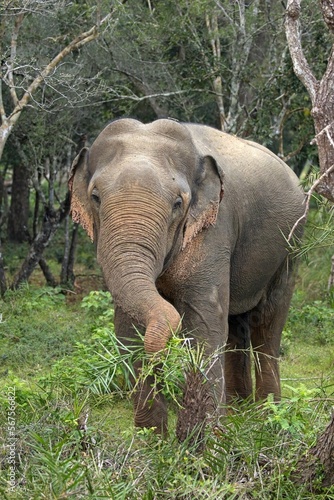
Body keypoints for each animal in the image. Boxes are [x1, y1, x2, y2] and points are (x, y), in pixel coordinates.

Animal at [70, 119, 306, 436]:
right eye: (95, 197)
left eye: (177, 203)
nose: (163, 356)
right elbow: (127, 329)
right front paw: (152, 438)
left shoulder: (214, 229)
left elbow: (203, 325)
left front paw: (204, 441)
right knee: (236, 324)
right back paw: (238, 411)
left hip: (291, 246)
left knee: (268, 323)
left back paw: (266, 418)